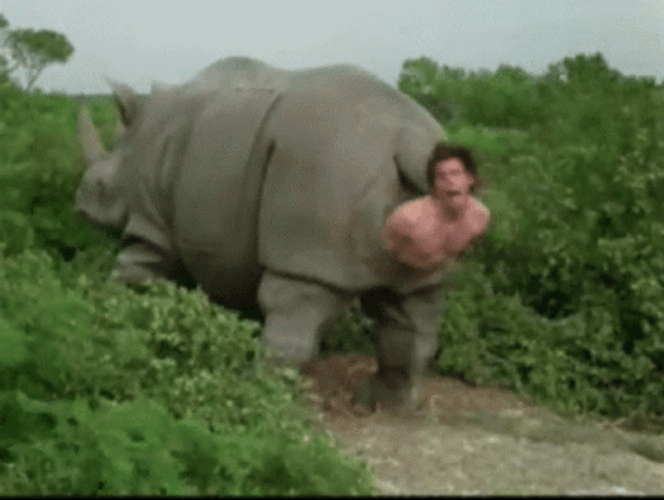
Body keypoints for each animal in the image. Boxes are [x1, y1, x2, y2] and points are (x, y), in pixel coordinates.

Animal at [76, 56, 452, 413]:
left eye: (99, 185)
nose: (80, 208)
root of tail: (408, 144)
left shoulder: (152, 222)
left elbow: (133, 271)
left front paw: (114, 313)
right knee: (415, 306)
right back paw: (383, 405)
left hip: (326, 174)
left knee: (294, 302)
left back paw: (250, 393)